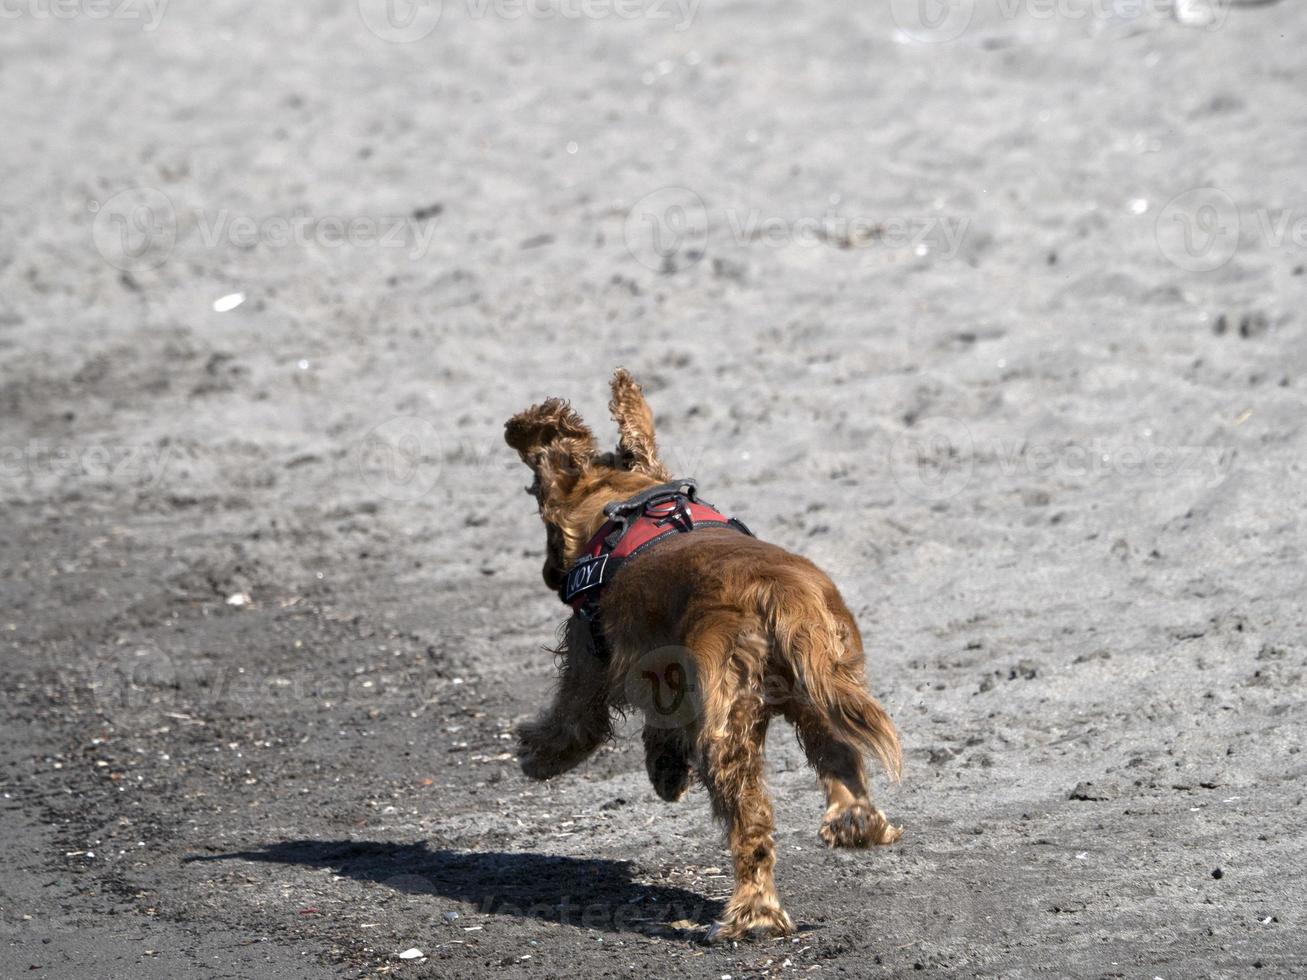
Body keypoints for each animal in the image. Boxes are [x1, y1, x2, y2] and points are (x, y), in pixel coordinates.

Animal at [504, 371, 904, 946]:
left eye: (539, 506)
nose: (548, 573)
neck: (627, 504)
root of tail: (776, 588)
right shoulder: (668, 677)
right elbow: (661, 728)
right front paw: (666, 771)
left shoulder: (592, 659)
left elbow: (572, 725)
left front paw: (534, 755)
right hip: (822, 690)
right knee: (841, 759)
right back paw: (853, 824)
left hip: (728, 726)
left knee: (752, 826)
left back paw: (753, 914)